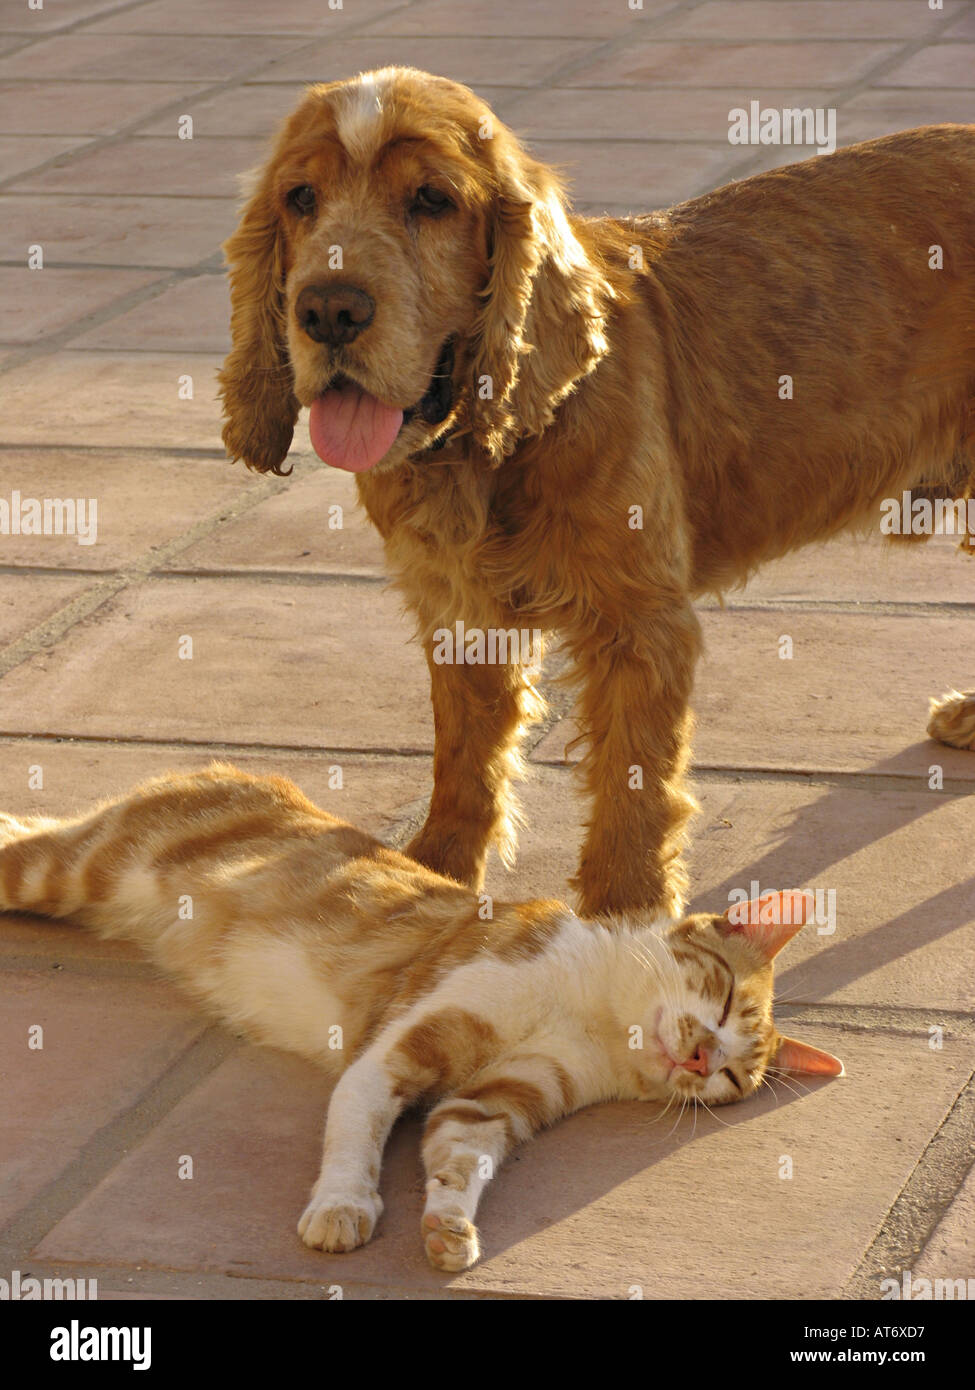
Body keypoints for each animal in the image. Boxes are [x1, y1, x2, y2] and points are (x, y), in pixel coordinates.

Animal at [0, 761, 834, 1273]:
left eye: (731, 1080)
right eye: (721, 1001)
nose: (697, 1061)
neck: (588, 1014)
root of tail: (232, 770)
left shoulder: (495, 1102)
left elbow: (458, 1156)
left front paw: (447, 1231)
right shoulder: (393, 1053)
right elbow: (354, 1139)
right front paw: (341, 1207)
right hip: (67, 871)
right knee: (23, 837)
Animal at [218, 73, 973, 922]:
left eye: (432, 200)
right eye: (300, 197)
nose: (328, 310)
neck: (491, 445)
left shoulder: (637, 626)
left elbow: (631, 787)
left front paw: (624, 917)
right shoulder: (458, 613)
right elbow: (464, 758)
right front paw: (435, 876)